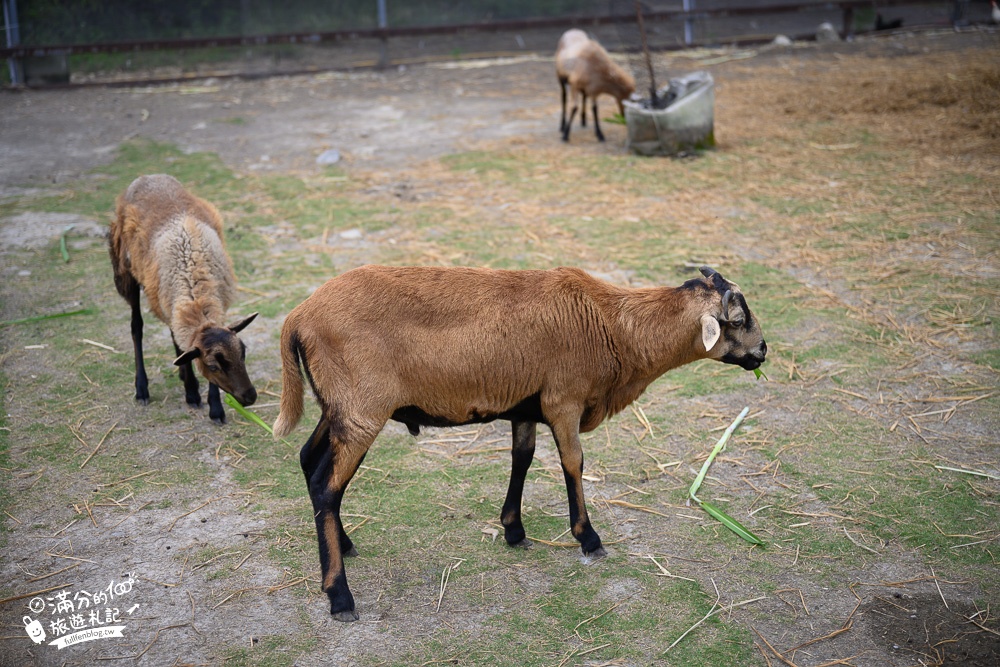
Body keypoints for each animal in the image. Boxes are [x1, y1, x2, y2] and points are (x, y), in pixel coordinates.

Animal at [109, 174, 258, 422]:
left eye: (243, 353)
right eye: (214, 366)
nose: (250, 397)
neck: (196, 296)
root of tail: (147, 176)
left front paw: (215, 407)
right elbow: (182, 350)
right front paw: (193, 393)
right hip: (126, 271)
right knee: (136, 326)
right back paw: (142, 388)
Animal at [272, 264, 764, 620]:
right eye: (739, 319)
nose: (763, 352)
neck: (614, 326)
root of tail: (298, 317)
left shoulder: (527, 406)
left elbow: (522, 459)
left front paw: (513, 529)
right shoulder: (564, 399)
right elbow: (572, 462)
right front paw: (588, 538)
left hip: (337, 407)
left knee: (309, 464)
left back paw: (345, 545)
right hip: (361, 411)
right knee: (327, 487)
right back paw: (339, 596)